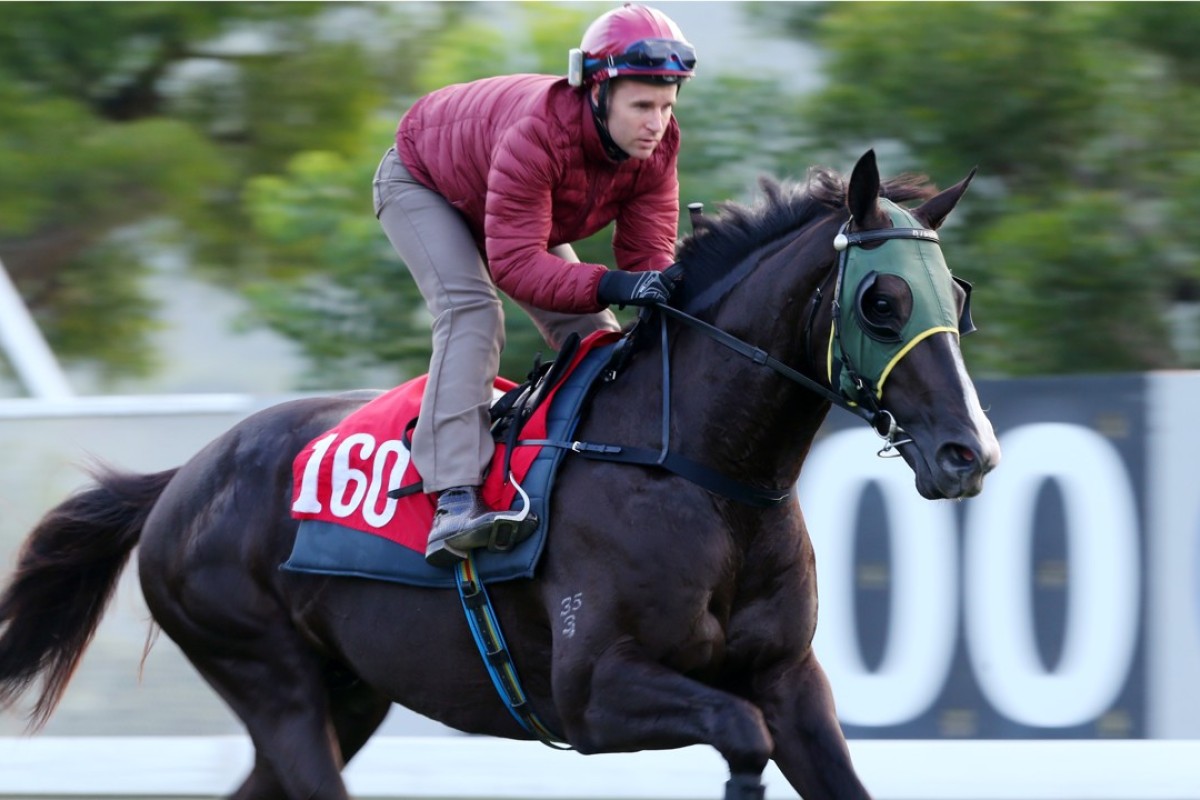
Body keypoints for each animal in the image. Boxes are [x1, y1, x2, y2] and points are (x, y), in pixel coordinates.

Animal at [0, 151, 993, 800]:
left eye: (959, 298)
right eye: (881, 300)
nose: (969, 453)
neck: (699, 473)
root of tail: (181, 480)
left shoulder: (790, 680)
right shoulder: (595, 695)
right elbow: (738, 739)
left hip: (345, 694)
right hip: (267, 674)